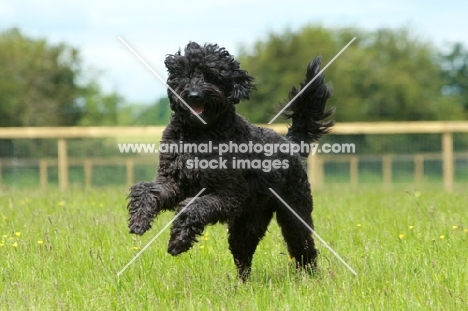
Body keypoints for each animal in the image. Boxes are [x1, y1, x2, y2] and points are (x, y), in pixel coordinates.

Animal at [128, 42, 332, 282]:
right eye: (185, 74)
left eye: (211, 75)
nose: (194, 95)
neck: (199, 134)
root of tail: (289, 142)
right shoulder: (173, 181)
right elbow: (147, 189)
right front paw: (139, 220)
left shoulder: (231, 194)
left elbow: (195, 206)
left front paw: (178, 241)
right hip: (247, 223)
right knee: (244, 258)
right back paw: (242, 285)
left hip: (293, 214)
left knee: (304, 248)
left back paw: (309, 278)